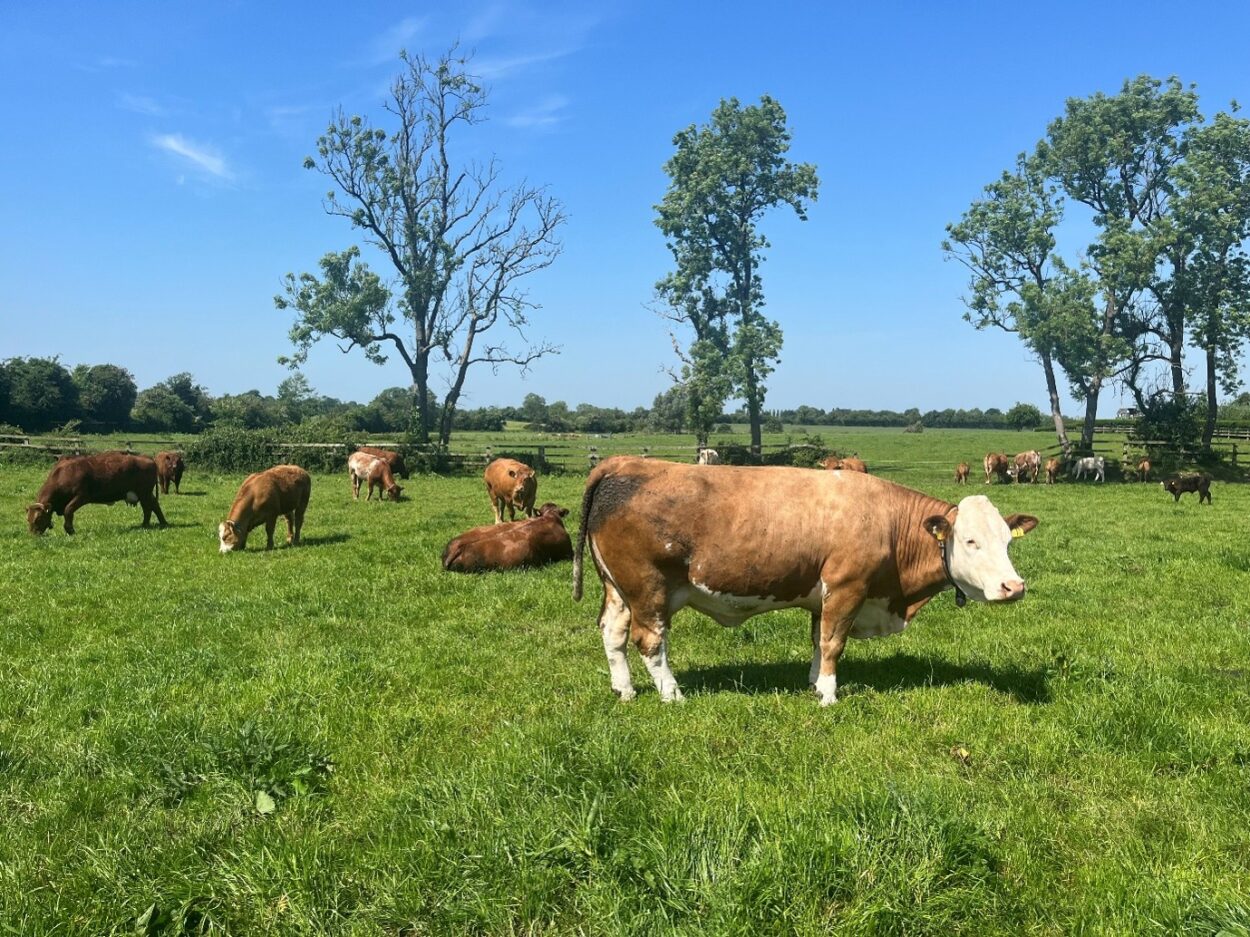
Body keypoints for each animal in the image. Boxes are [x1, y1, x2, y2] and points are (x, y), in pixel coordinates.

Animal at [27, 452, 168, 535]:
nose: (34, 535)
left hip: (144, 493)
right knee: (154, 505)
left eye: (38, 518)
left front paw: (70, 530)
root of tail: (147, 457)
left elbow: (68, 510)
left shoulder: (82, 496)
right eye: (28, 519)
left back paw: (145, 525)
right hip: (146, 493)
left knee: (148, 508)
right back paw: (162, 523)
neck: (63, 474)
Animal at [573, 457, 1038, 706]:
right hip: (648, 587)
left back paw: (624, 689)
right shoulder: (848, 588)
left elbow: (818, 640)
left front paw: (814, 682)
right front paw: (829, 694)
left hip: (618, 589)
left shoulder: (823, 597)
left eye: (1006, 541)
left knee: (612, 633)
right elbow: (834, 642)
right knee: (649, 641)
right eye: (971, 540)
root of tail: (624, 462)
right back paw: (672, 694)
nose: (1014, 587)